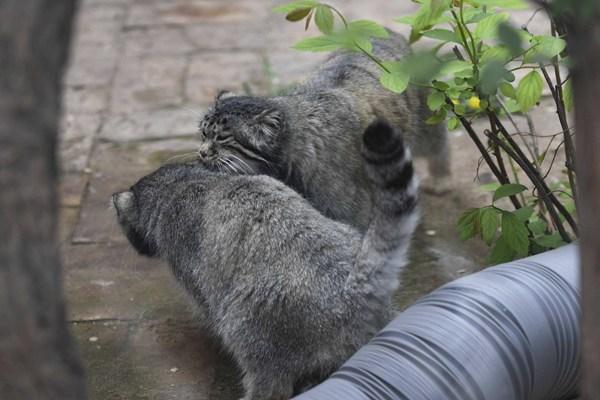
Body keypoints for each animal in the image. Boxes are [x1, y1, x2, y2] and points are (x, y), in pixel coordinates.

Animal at [115, 121, 420, 400]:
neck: (182, 182)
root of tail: (354, 288)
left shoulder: (190, 267)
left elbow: (205, 303)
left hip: (249, 325)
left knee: (270, 380)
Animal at [199, 31, 448, 231]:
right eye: (203, 133)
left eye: (222, 138)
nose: (201, 152)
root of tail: (385, 32)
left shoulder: (352, 210)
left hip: (425, 120)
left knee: (438, 143)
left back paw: (441, 177)